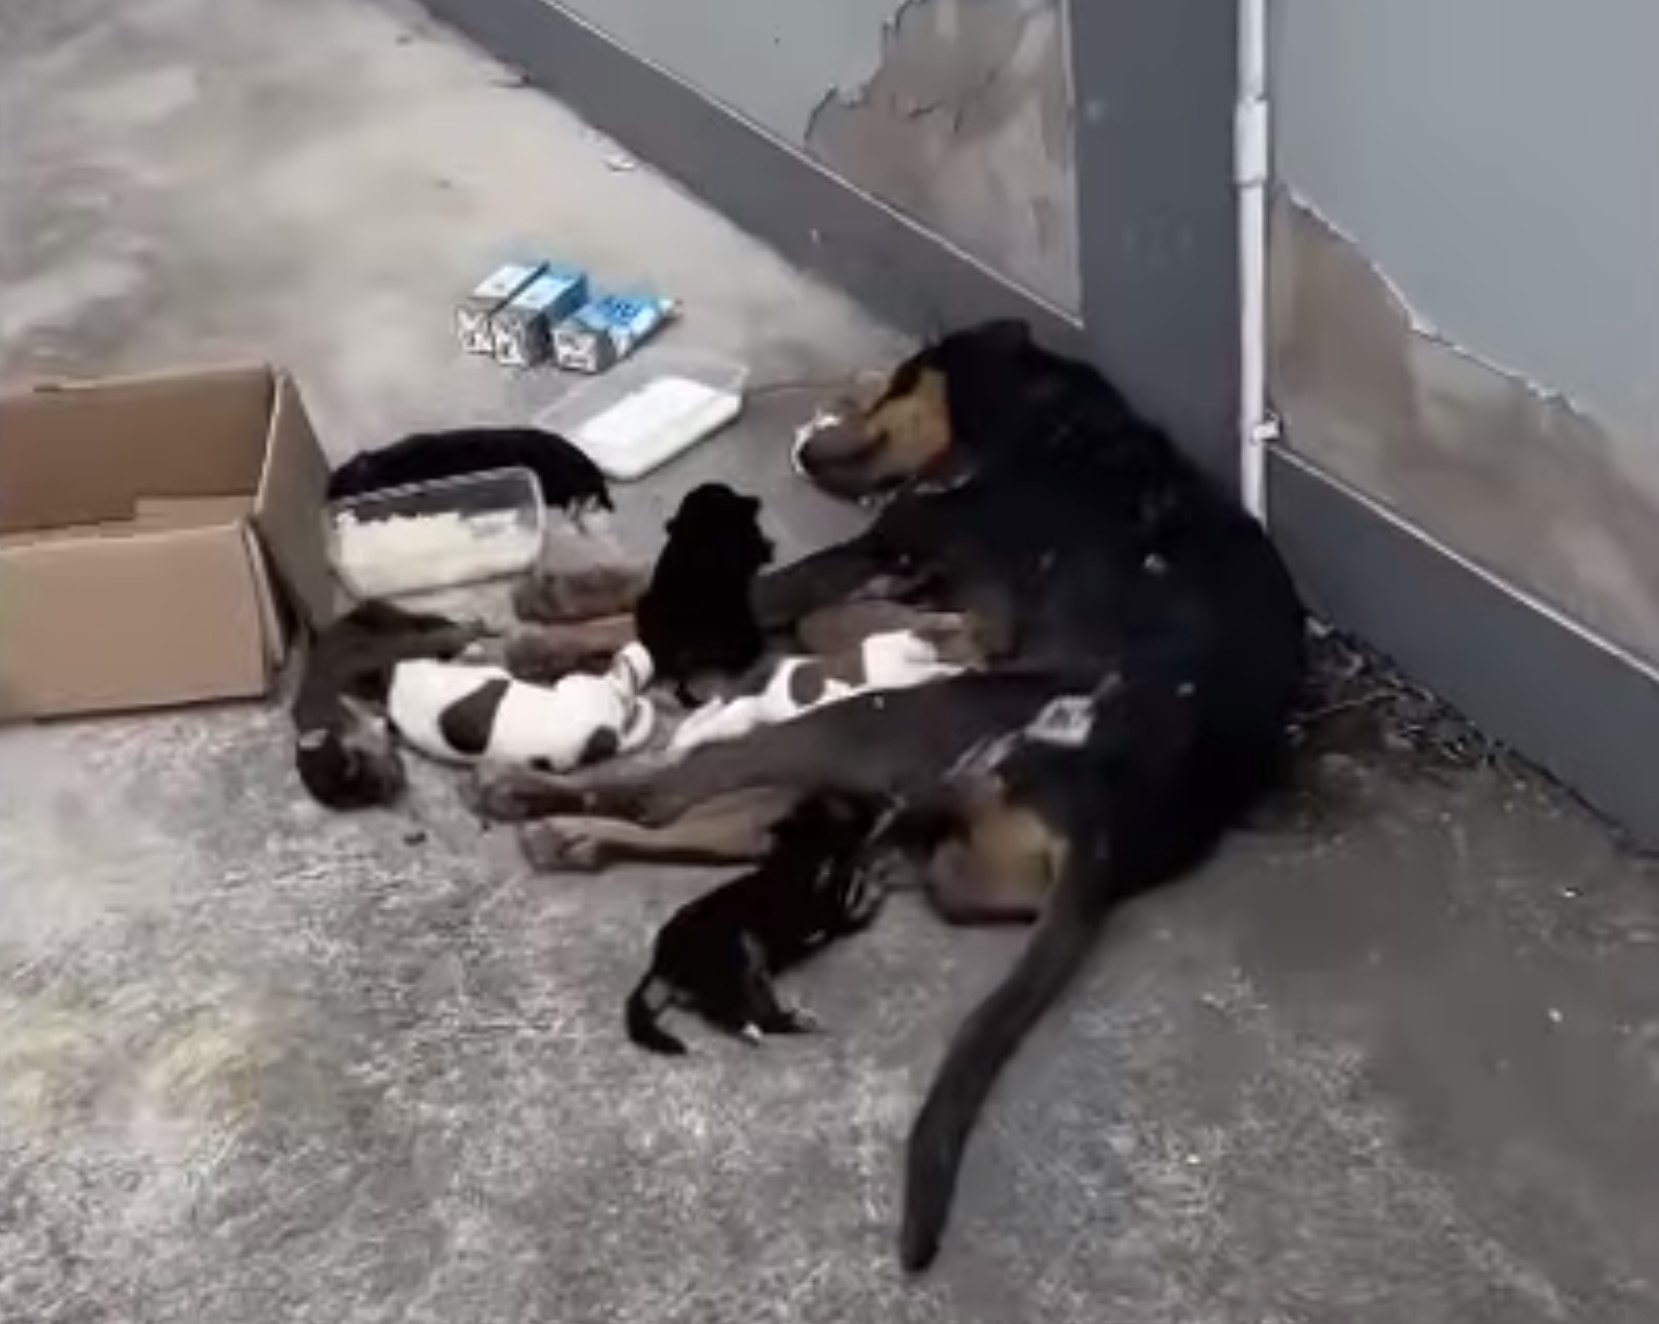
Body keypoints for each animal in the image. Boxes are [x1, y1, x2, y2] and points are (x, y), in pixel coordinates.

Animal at [623, 793, 889, 1061]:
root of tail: (661, 964)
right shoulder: (831, 900)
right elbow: (854, 896)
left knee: (717, 1010)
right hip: (743, 954)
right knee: (747, 1012)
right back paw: (775, 1024)